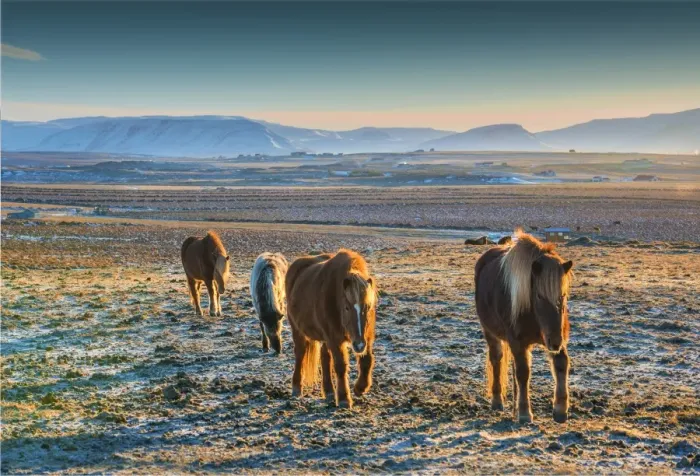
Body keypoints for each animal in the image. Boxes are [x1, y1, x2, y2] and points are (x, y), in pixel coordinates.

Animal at [285, 249, 377, 409]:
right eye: (347, 307)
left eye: (367, 307)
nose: (359, 345)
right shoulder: (334, 338)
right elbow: (340, 366)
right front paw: (344, 398)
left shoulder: (366, 336)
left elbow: (367, 360)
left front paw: (361, 387)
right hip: (297, 329)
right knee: (300, 353)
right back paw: (297, 387)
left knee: (324, 357)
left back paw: (328, 391)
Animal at [475, 230, 573, 424]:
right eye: (540, 296)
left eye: (563, 295)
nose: (555, 342)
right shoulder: (519, 341)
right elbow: (523, 373)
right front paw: (524, 412)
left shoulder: (554, 335)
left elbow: (561, 364)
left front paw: (560, 409)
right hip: (490, 332)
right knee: (496, 359)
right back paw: (497, 401)